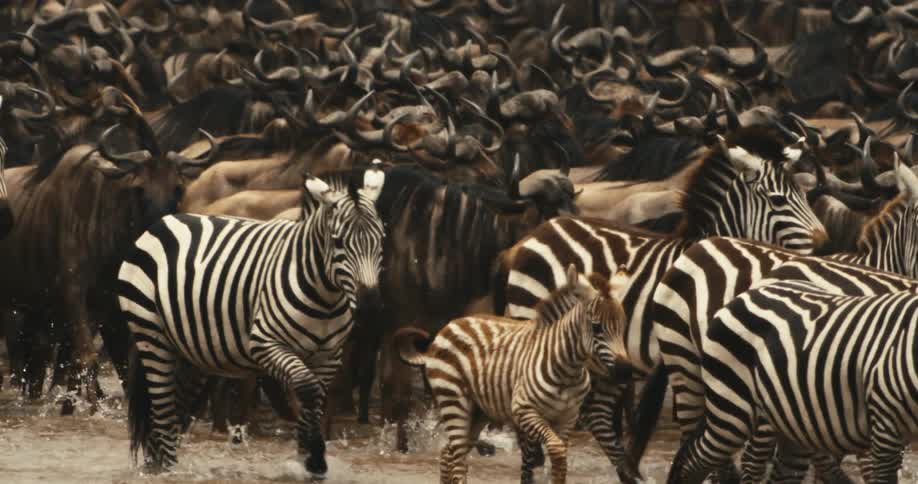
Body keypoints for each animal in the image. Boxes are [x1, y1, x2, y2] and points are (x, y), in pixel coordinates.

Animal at [117, 161, 386, 477]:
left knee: (172, 412)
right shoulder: (266, 344)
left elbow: (315, 402)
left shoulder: (329, 355)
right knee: (161, 410)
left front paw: (308, 461)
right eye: (338, 242)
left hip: (190, 352)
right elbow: (308, 390)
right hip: (151, 332)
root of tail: (166, 220)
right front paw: (315, 458)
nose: (370, 307)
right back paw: (170, 472)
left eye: (381, 239)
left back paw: (158, 466)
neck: (326, 299)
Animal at [396, 264, 630, 484]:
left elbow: (559, 460)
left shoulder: (567, 417)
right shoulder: (524, 410)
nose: (624, 370)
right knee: (458, 461)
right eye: (597, 328)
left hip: (477, 413)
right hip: (454, 402)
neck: (567, 370)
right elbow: (553, 451)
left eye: (623, 326)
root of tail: (451, 324)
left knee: (447, 455)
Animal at [495, 126, 827, 480]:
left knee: (598, 414)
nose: (825, 244)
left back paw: (627, 473)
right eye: (779, 200)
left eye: (805, 195)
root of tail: (537, 233)